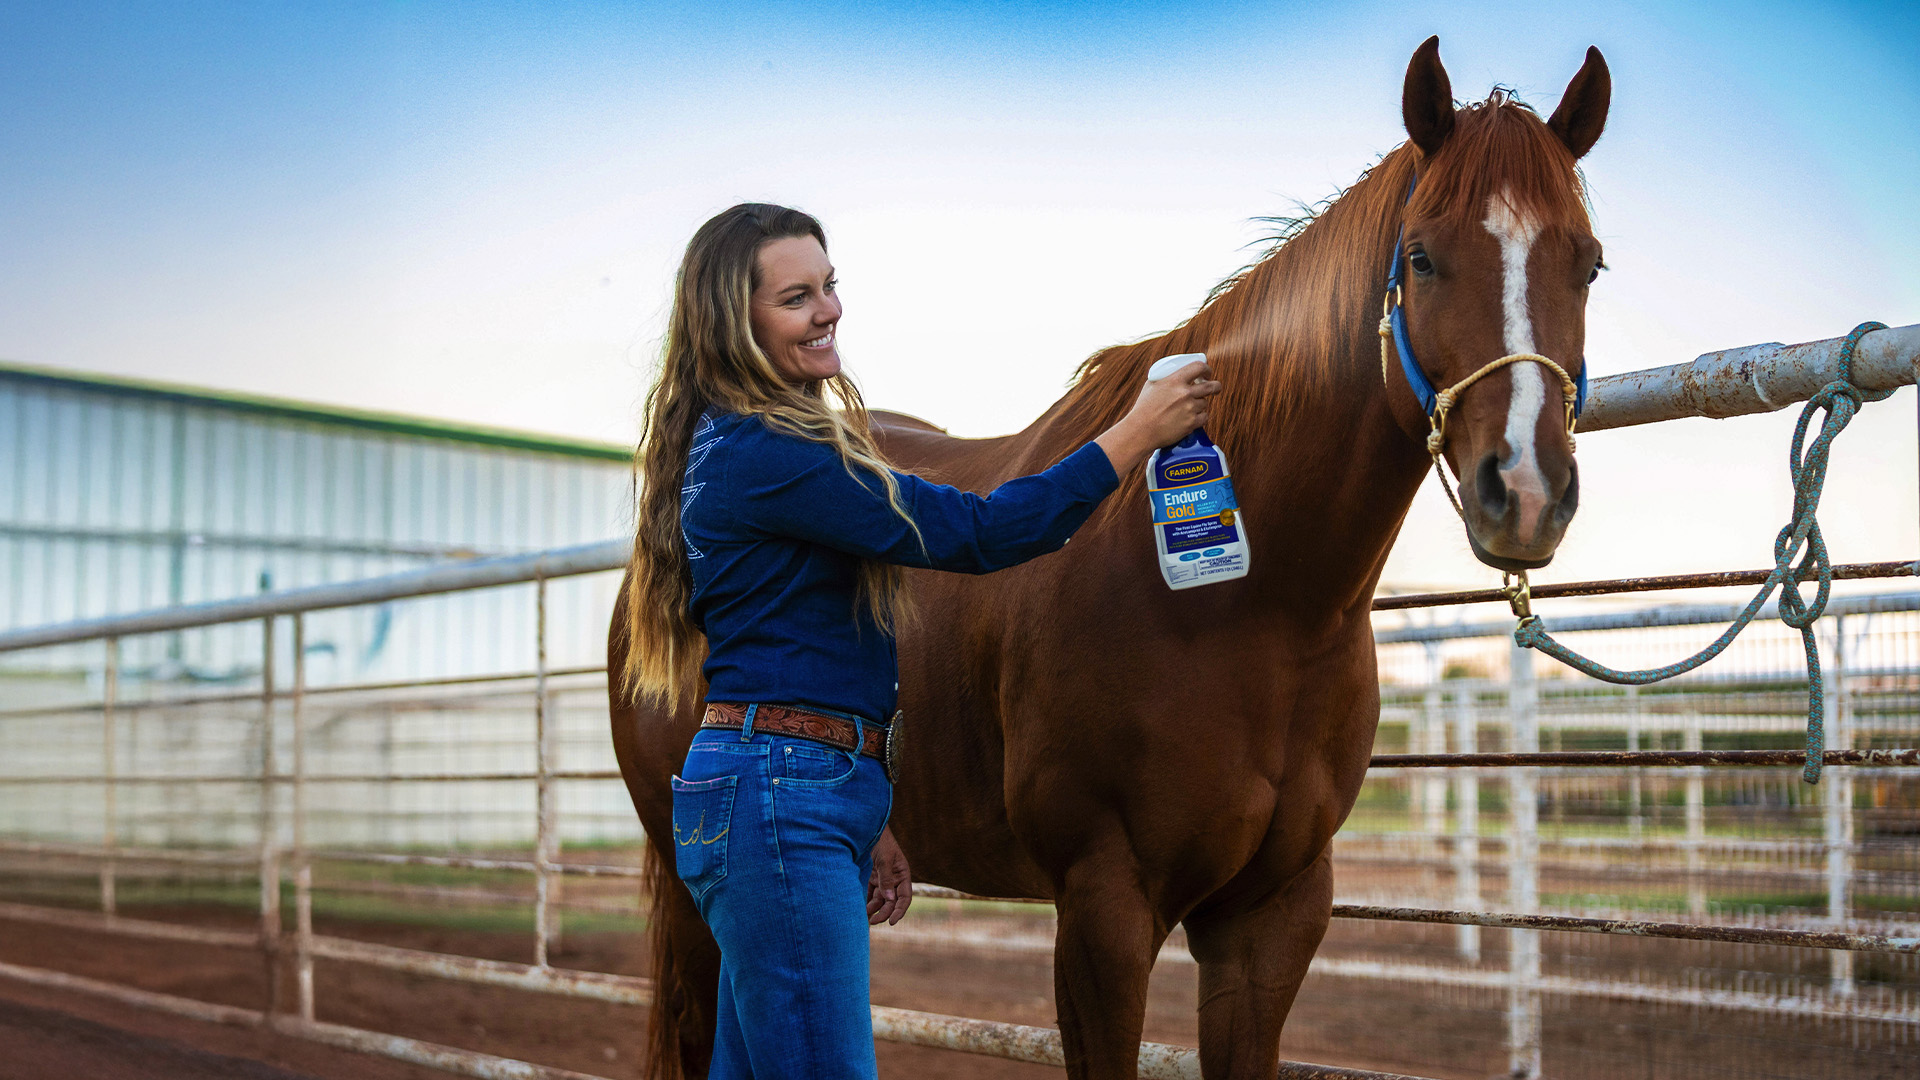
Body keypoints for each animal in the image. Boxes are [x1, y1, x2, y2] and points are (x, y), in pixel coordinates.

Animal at [610, 36, 1611, 1080]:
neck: (1254, 613)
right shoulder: (1105, 906)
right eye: (1421, 257)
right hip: (694, 894)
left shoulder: (1272, 916)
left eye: (1588, 264)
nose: (1525, 489)